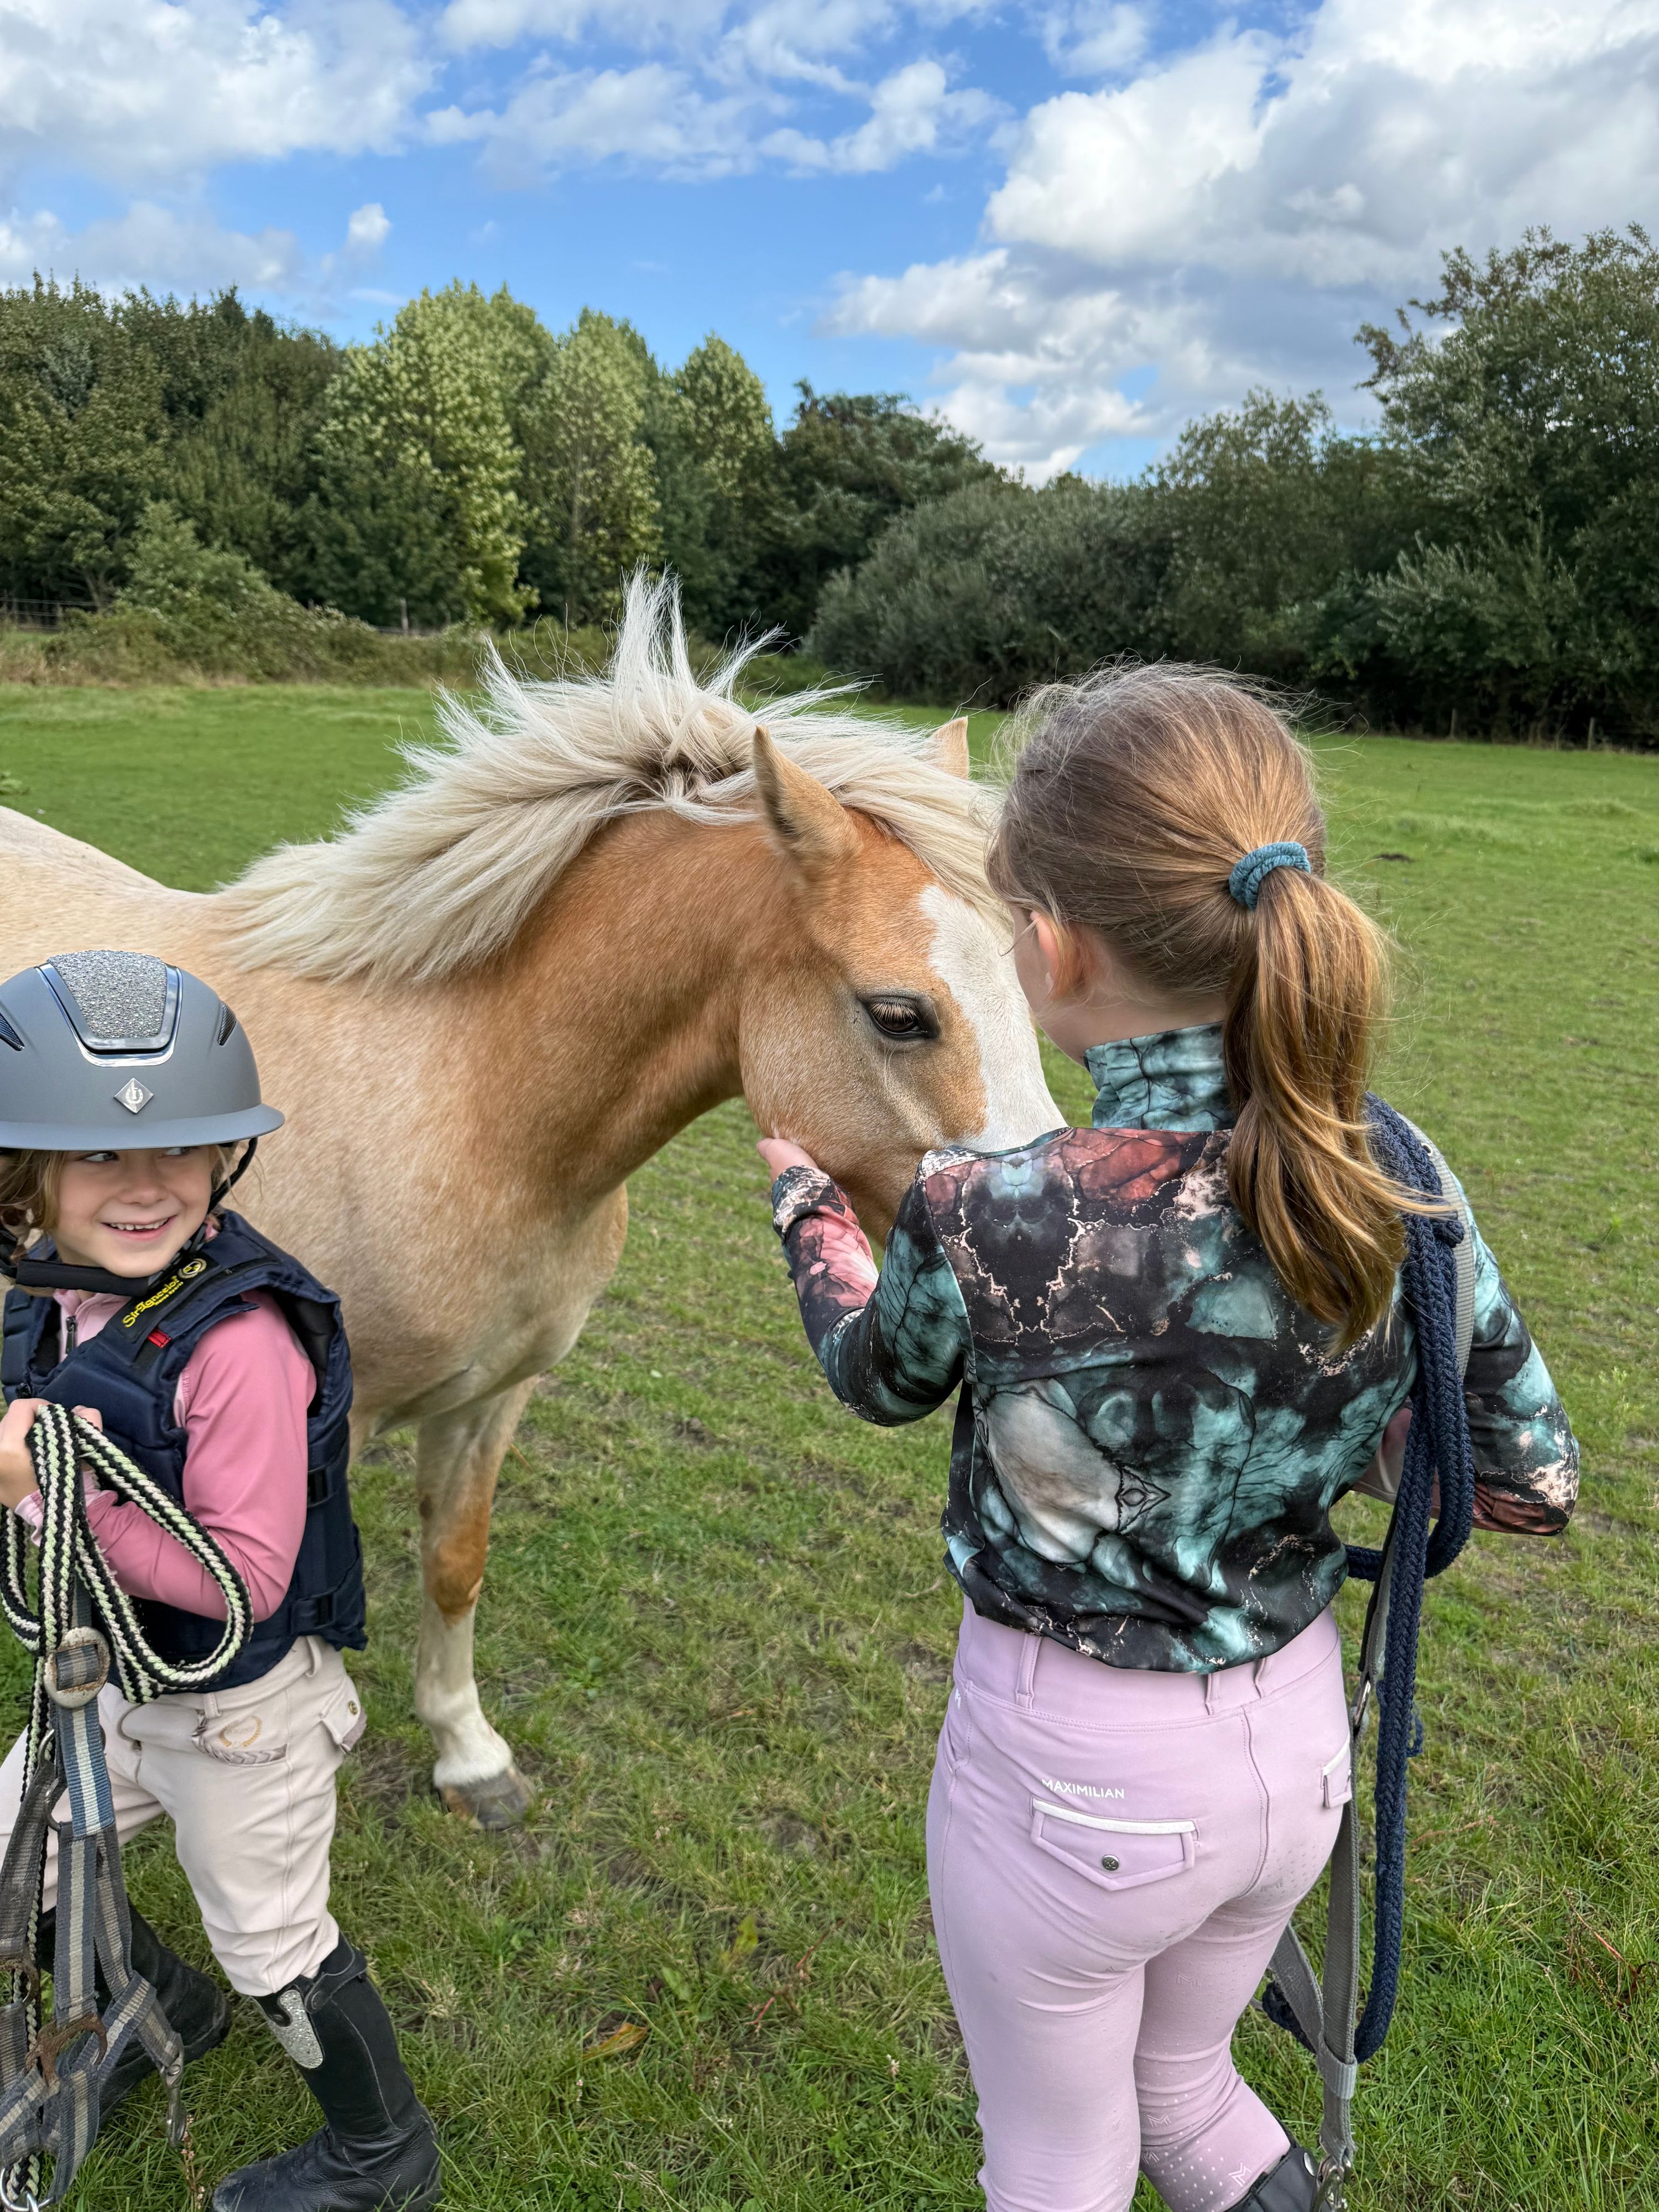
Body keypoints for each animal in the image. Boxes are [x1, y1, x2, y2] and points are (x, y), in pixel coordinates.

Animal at [0, 577, 1059, 1823]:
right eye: (900, 1013)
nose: (1038, 1270)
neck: (469, 1102)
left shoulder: (490, 1398)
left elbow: (457, 1563)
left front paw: (469, 1754)